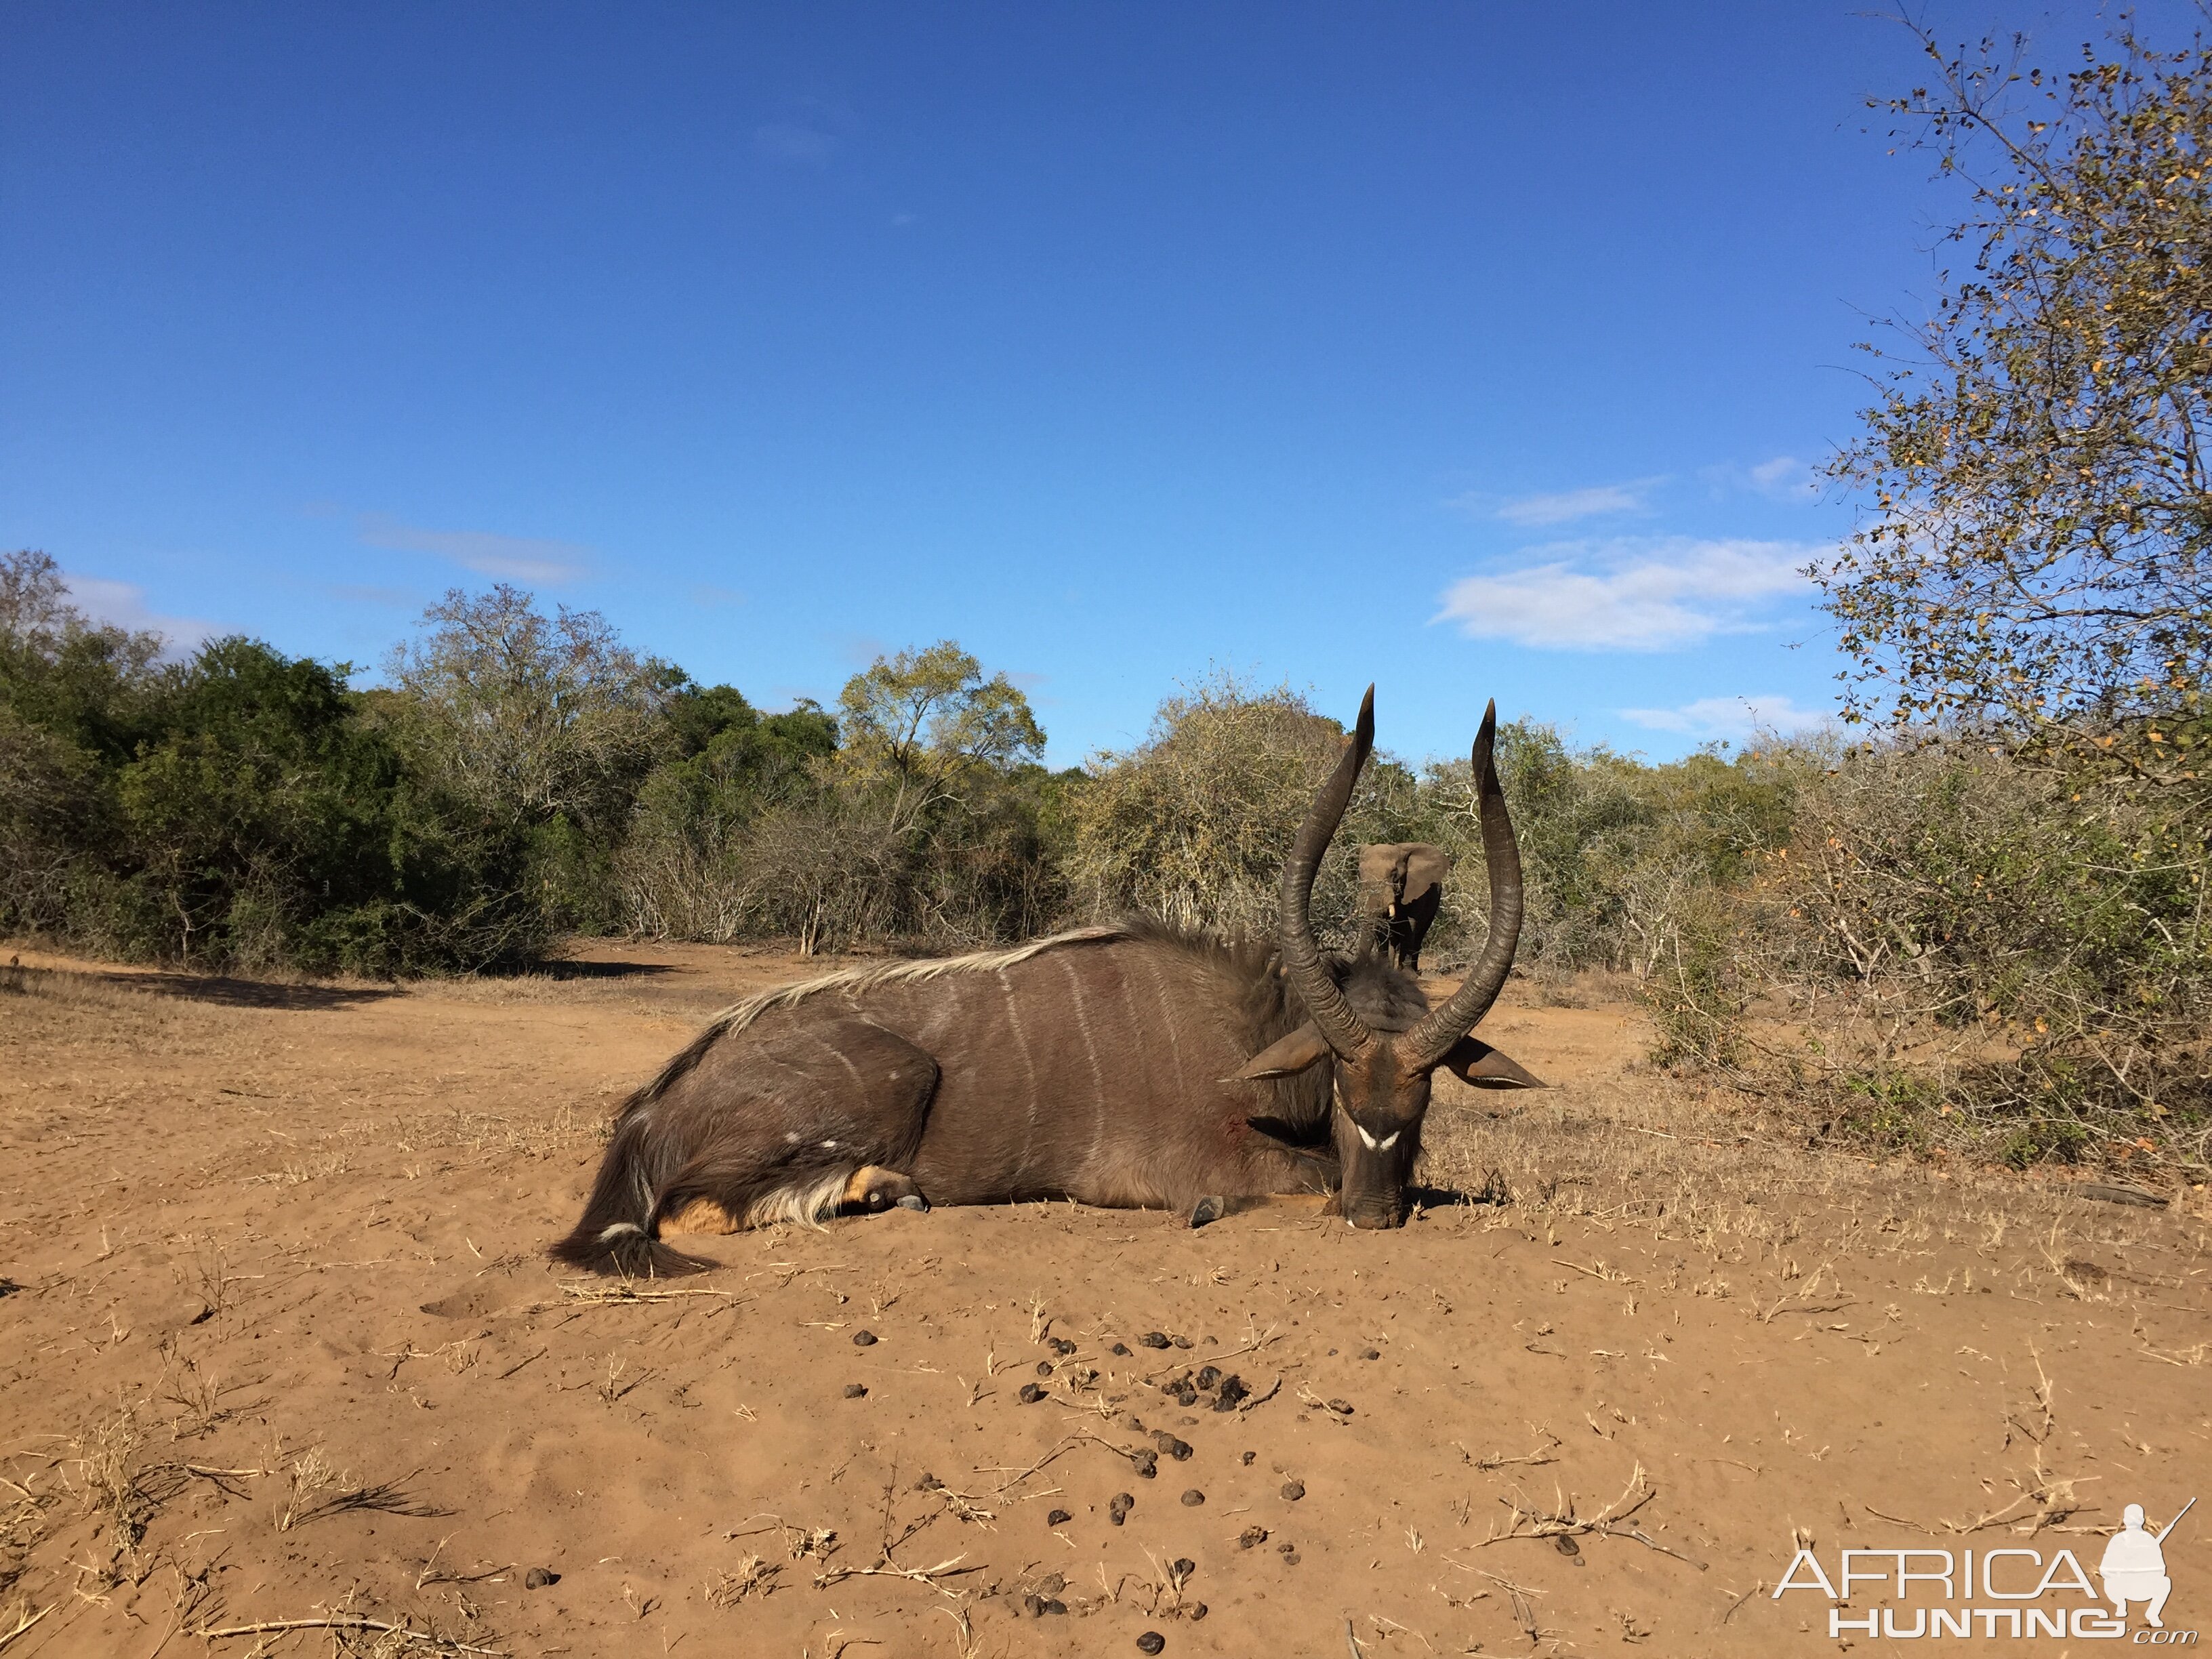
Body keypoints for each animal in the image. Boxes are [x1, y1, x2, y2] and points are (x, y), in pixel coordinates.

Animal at [553, 685, 1539, 1274]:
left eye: (1424, 1098)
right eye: (1337, 1084)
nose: (1374, 1213)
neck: (1253, 1033)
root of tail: (650, 1114)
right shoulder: (1198, 1173)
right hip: (892, 1075)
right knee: (691, 1212)